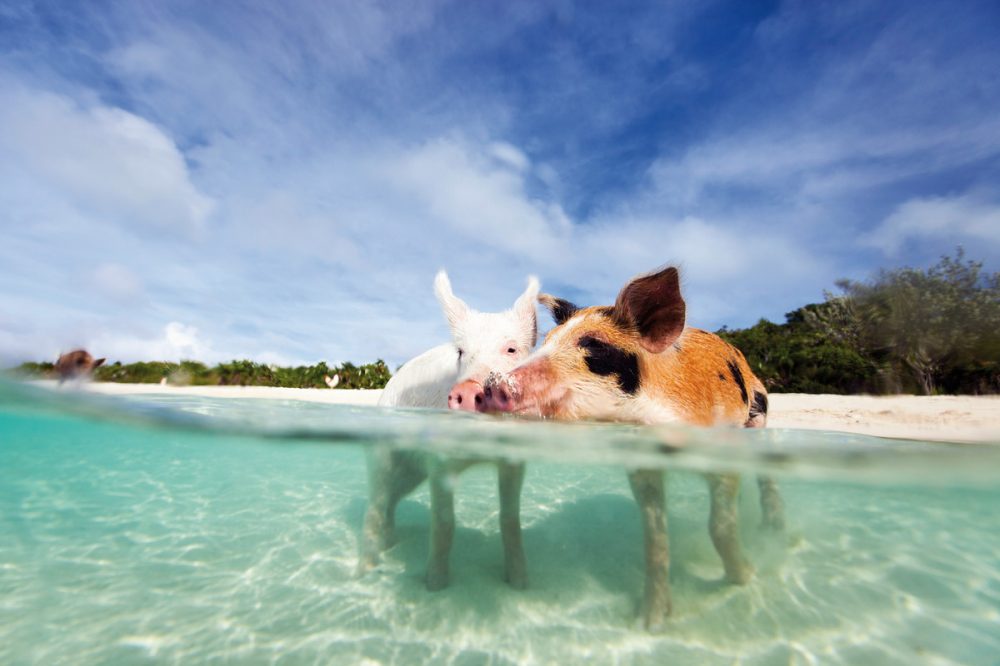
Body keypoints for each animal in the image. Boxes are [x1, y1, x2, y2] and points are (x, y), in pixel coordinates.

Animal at [360, 268, 540, 588]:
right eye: (461, 352)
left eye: (511, 348)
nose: (467, 390)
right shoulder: (439, 461)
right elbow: (444, 522)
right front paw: (435, 584)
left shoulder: (513, 461)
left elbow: (510, 520)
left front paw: (520, 583)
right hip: (383, 453)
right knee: (375, 505)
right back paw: (366, 571)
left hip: (412, 473)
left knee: (391, 501)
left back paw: (391, 544)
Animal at [474, 264, 780, 628]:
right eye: (546, 342)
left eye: (593, 345)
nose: (493, 385)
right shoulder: (642, 466)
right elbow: (655, 538)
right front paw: (650, 622)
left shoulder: (721, 449)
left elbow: (719, 525)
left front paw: (745, 578)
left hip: (759, 415)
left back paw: (772, 530)